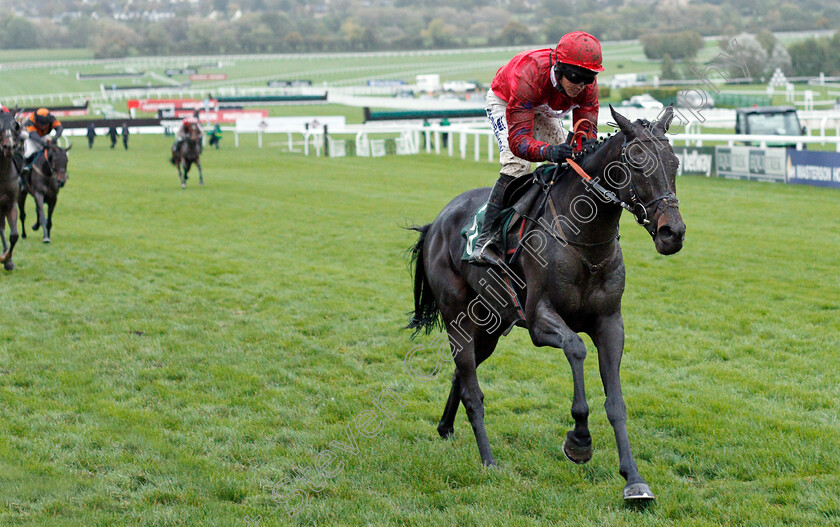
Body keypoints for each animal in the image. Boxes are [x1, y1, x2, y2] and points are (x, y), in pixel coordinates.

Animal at [408, 105, 688, 502]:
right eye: (636, 163)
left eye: (674, 162)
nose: (672, 233)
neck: (585, 241)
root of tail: (436, 223)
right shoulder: (540, 321)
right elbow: (576, 349)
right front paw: (579, 440)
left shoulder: (610, 322)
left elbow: (616, 403)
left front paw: (634, 480)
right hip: (457, 319)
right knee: (472, 389)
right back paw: (488, 460)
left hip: (490, 327)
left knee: (462, 374)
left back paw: (446, 427)